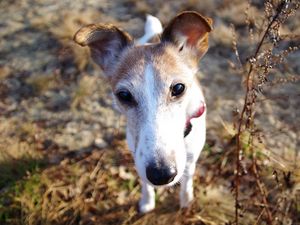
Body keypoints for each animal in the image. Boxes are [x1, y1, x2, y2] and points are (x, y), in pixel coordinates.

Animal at [73, 11, 212, 214]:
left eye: (178, 88)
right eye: (124, 95)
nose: (161, 175)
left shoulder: (191, 159)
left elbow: (187, 182)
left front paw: (186, 201)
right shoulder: (138, 157)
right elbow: (145, 184)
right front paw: (147, 202)